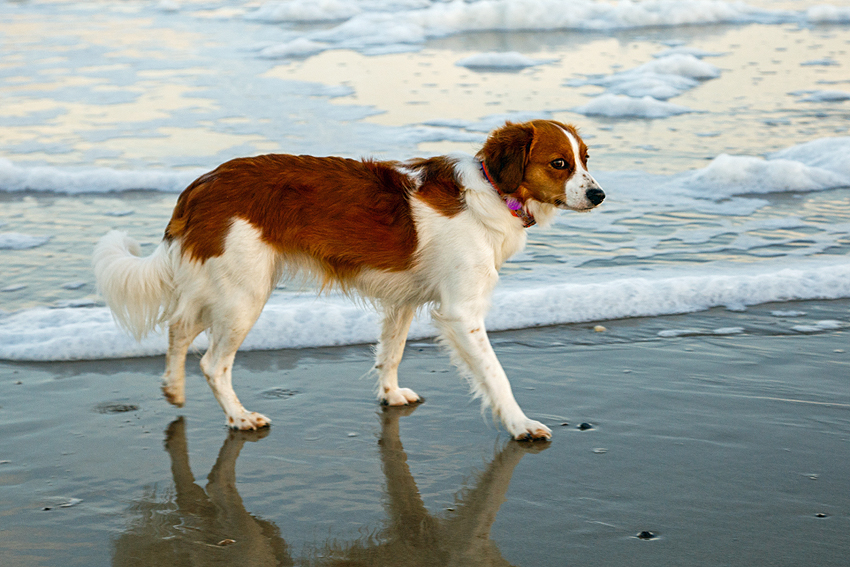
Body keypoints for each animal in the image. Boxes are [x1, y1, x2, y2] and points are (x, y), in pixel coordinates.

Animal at [93, 118, 604, 440]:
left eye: (585, 159)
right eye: (559, 163)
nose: (599, 194)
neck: (495, 193)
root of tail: (204, 183)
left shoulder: (404, 300)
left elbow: (390, 353)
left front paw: (390, 395)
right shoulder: (461, 314)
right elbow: (497, 377)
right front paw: (520, 425)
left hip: (218, 284)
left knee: (178, 327)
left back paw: (172, 388)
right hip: (244, 295)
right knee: (213, 363)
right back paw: (239, 418)